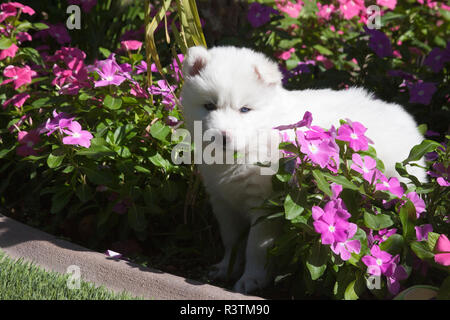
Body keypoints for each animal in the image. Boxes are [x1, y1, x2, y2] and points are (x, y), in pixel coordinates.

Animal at [180, 45, 426, 292]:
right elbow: (231, 241)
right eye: (209, 106)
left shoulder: (265, 206)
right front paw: (225, 268)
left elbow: (255, 246)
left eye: (245, 109)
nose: (222, 136)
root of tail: (407, 121)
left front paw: (251, 279)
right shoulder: (223, 202)